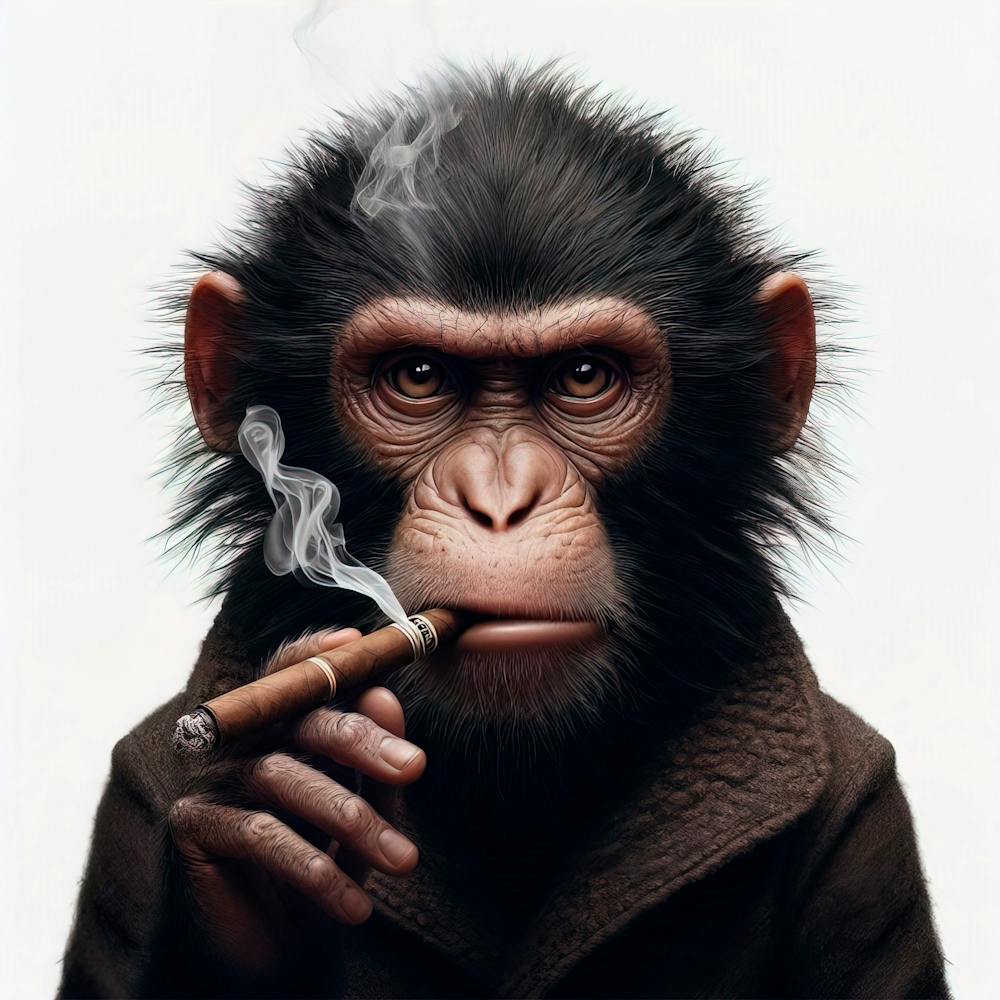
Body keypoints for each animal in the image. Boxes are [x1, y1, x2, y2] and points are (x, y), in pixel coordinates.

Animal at [60, 64, 949, 999]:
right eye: (418, 376)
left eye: (584, 376)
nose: (499, 499)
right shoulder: (131, 788)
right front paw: (268, 809)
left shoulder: (871, 808)